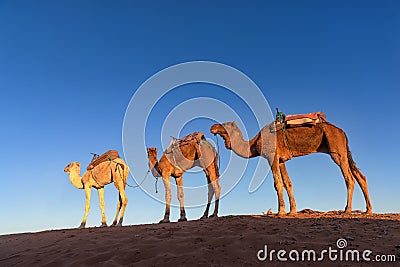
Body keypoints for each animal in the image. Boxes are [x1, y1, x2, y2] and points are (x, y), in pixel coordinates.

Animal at [211, 119, 374, 216]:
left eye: (227, 124)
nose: (213, 127)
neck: (255, 143)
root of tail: (343, 132)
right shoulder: (281, 160)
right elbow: (288, 183)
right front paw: (293, 211)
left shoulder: (272, 156)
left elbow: (277, 184)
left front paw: (281, 211)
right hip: (344, 151)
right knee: (361, 176)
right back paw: (368, 211)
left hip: (337, 150)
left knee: (349, 178)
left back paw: (347, 210)